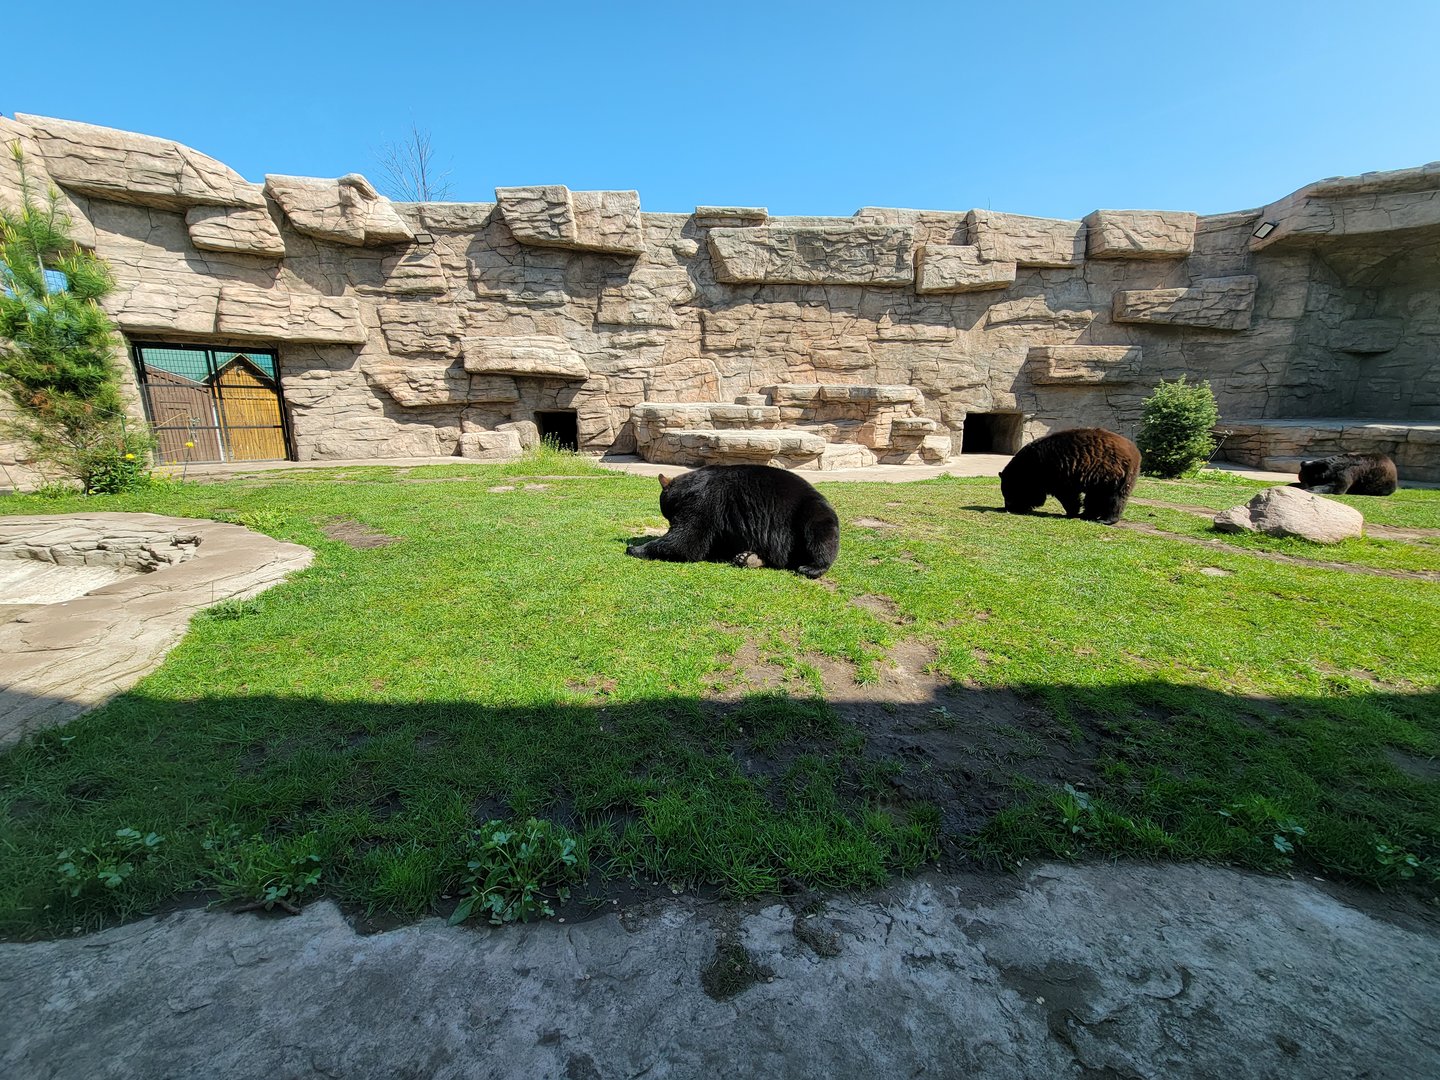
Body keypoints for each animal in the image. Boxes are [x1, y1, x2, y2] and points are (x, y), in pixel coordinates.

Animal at [625, 464, 840, 578]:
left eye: (668, 514)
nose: (670, 523)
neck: (688, 489)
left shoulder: (706, 500)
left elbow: (687, 540)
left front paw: (635, 548)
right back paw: (748, 557)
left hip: (809, 513)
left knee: (819, 536)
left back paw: (812, 566)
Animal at [999, 427, 1141, 525]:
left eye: (1009, 494)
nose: (1008, 508)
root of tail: (1135, 452)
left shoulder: (1057, 472)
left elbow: (1067, 495)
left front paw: (1071, 512)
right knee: (1097, 497)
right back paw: (1088, 515)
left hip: (1111, 474)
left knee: (1112, 497)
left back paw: (1106, 519)